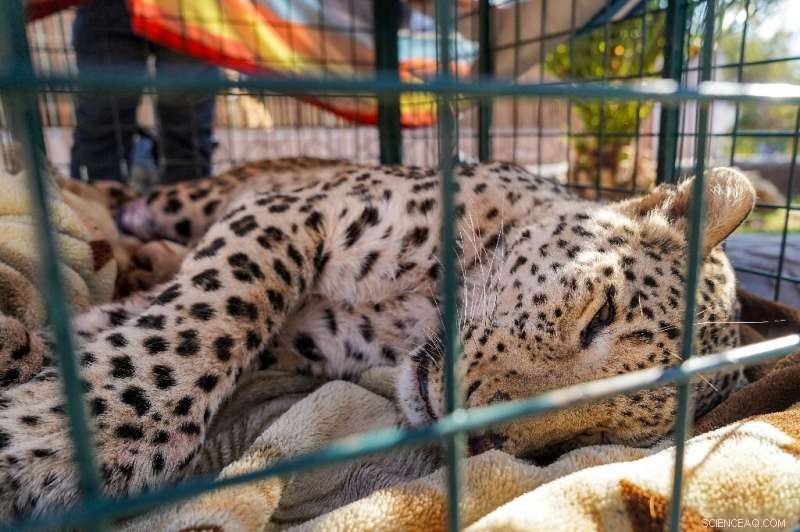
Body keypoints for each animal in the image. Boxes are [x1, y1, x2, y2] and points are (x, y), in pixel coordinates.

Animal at [0, 160, 756, 520]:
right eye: (597, 316)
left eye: (585, 440)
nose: (481, 440)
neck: (410, 314)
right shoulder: (288, 213)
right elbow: (206, 316)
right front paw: (66, 440)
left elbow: (142, 320)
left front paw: (38, 357)